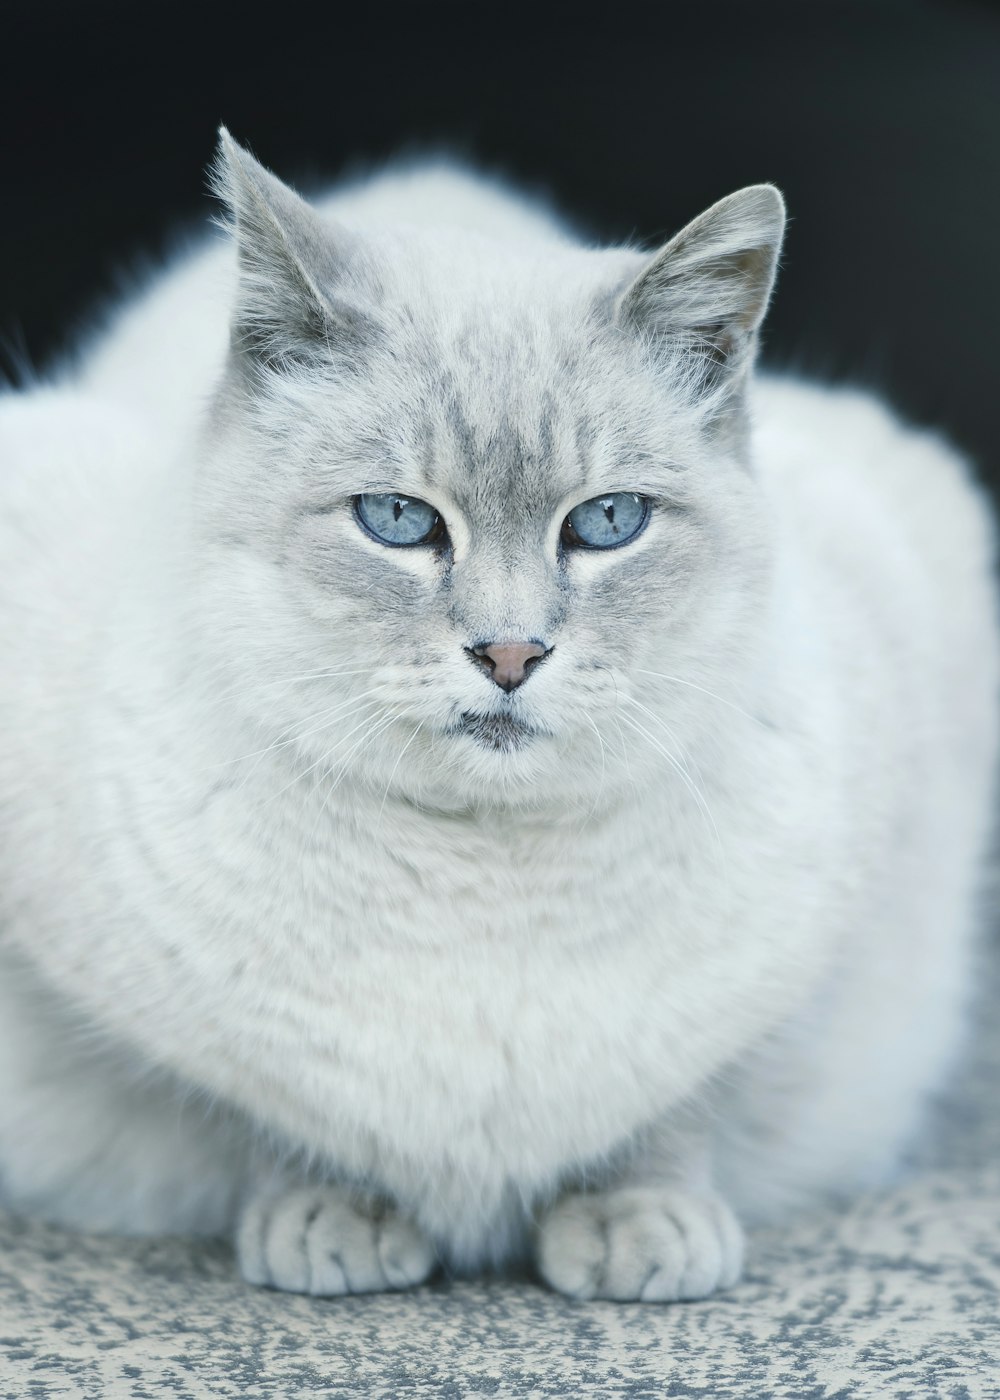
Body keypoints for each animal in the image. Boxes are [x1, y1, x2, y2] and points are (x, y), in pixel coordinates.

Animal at [0, 131, 991, 1299]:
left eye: (608, 522)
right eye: (397, 519)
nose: (510, 654)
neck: (485, 874)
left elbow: (675, 1103)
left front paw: (637, 1228)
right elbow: (280, 1108)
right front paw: (331, 1218)